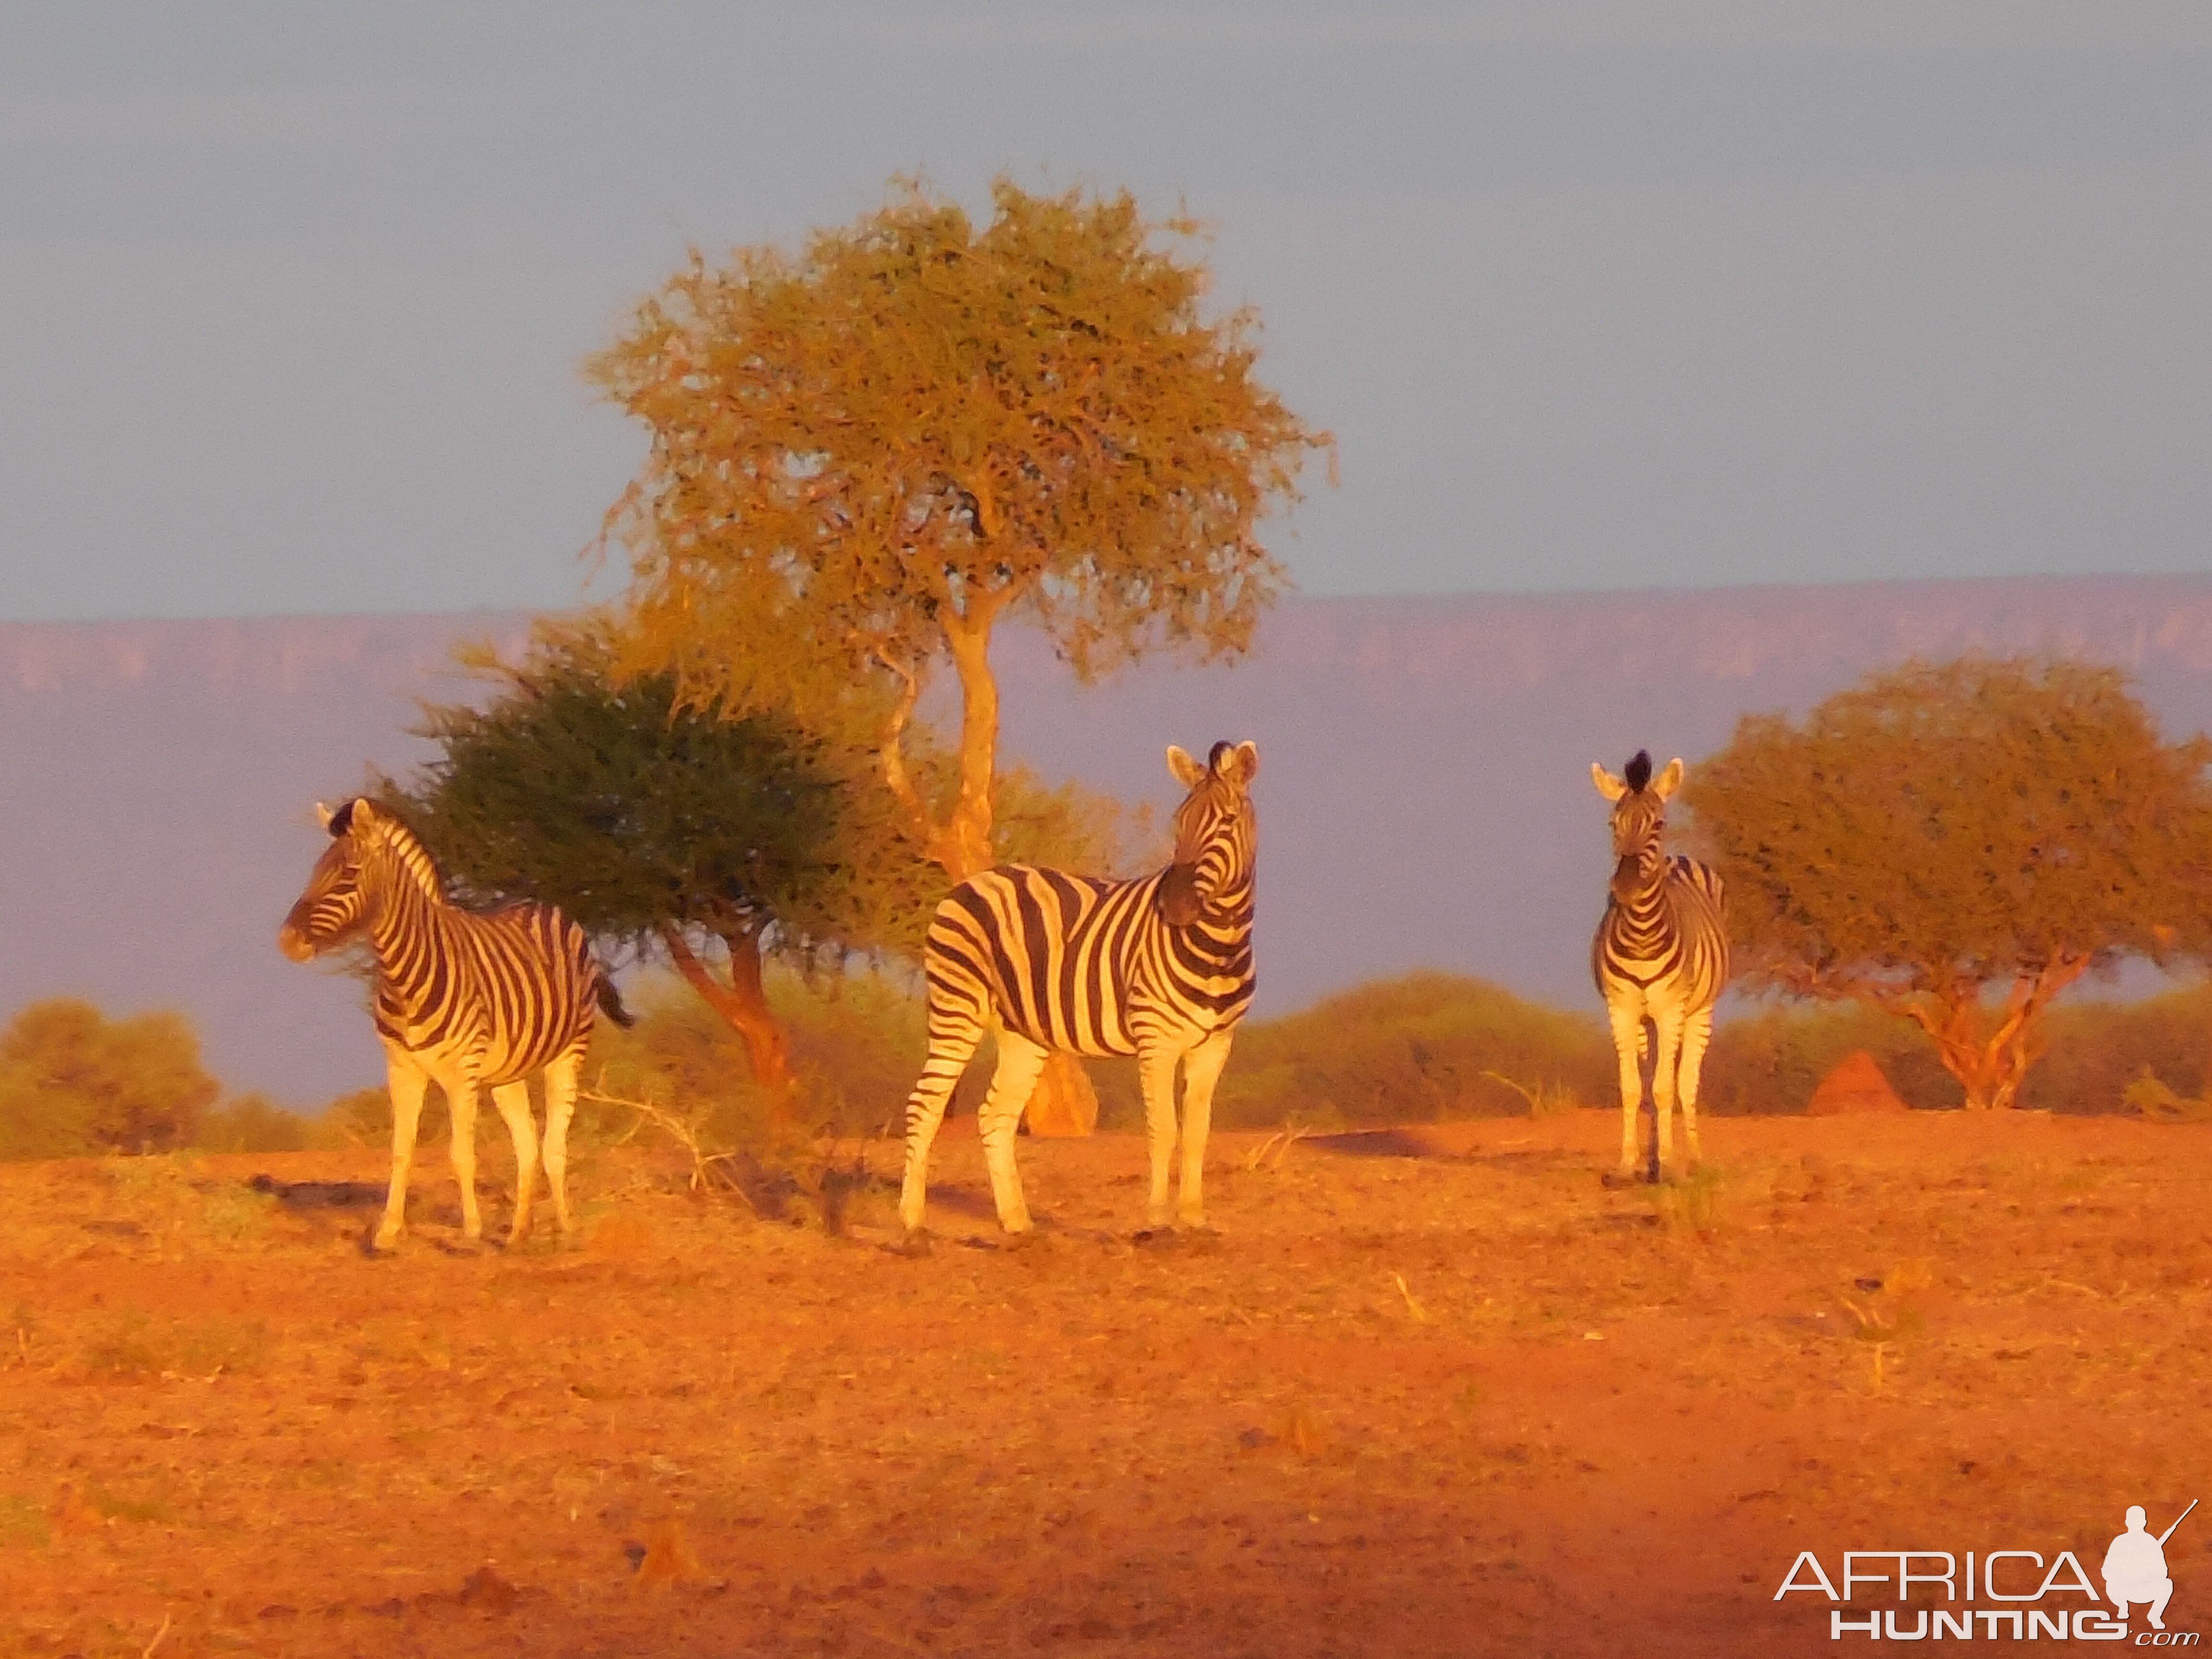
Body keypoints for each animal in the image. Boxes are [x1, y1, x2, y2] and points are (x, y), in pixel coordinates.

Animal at [274, 801, 632, 1256]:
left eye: (349, 872)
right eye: (315, 870)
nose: (287, 941)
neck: (404, 978)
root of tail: (546, 908)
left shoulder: (462, 1073)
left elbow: (462, 1154)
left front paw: (472, 1234)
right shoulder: (402, 1069)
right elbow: (401, 1151)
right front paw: (387, 1234)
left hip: (568, 1052)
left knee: (555, 1145)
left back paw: (567, 1231)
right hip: (507, 1073)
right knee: (527, 1144)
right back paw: (518, 1234)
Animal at [898, 747, 1265, 1238]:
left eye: (1227, 821)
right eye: (1179, 821)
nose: (1175, 906)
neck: (1219, 949)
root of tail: (972, 882)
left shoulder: (1216, 1045)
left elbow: (1196, 1134)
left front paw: (1194, 1220)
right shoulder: (1157, 1040)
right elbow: (1163, 1129)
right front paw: (1157, 1222)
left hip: (1022, 1031)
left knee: (996, 1115)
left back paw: (1018, 1223)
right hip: (957, 1005)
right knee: (925, 1105)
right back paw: (912, 1222)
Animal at [1592, 747, 1725, 1185]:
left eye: (1660, 823)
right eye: (1613, 824)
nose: (1625, 887)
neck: (1641, 936)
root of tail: (1678, 857)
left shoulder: (1671, 1009)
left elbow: (1667, 1089)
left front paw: (1668, 1165)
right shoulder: (1621, 1008)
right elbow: (1635, 1089)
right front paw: (1627, 1165)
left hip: (1698, 1011)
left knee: (1686, 1083)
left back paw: (1693, 1160)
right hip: (1645, 1020)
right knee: (1653, 1081)